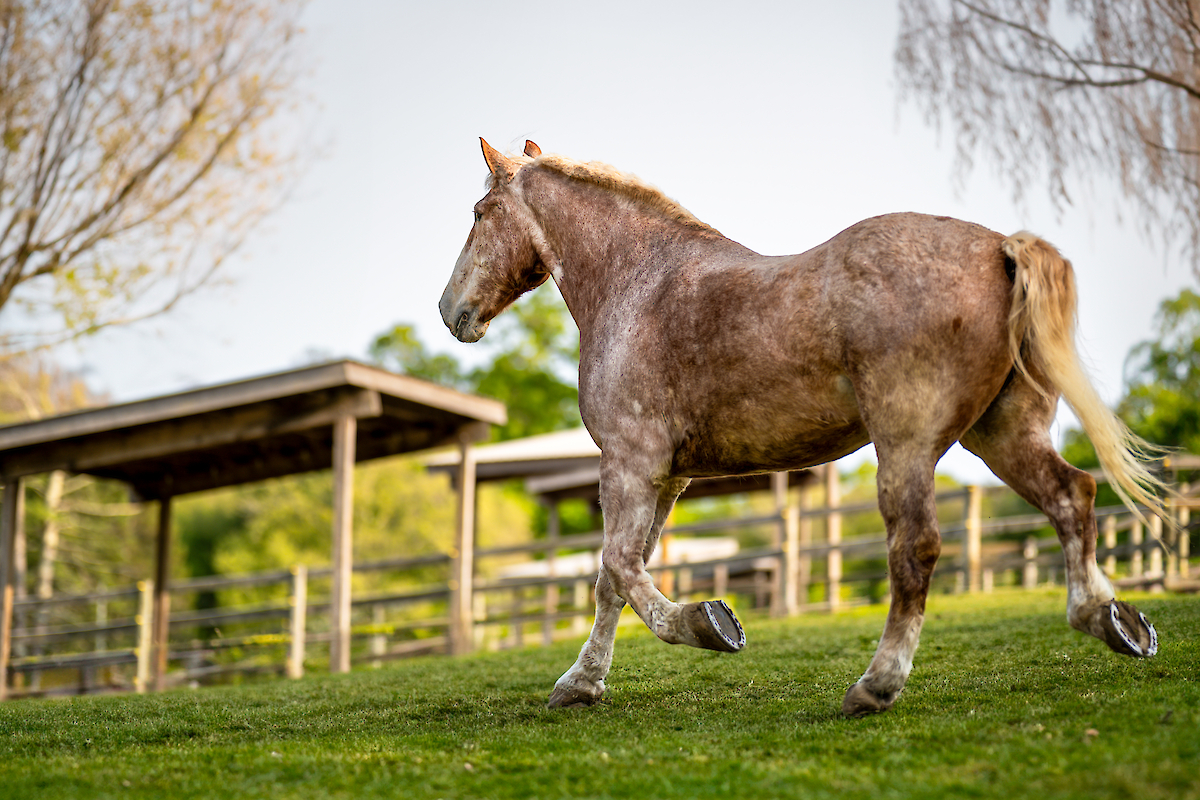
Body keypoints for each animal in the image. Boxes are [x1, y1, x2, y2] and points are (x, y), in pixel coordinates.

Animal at [439, 138, 1164, 717]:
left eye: (476, 213)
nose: (451, 310)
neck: (638, 286)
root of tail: (1000, 248)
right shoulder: (666, 479)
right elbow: (614, 579)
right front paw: (581, 684)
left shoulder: (629, 463)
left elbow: (618, 568)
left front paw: (707, 624)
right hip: (1003, 436)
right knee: (1073, 497)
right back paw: (1114, 623)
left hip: (907, 447)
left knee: (918, 549)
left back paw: (875, 686)